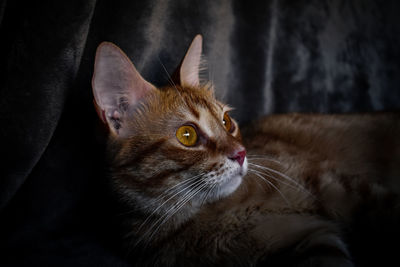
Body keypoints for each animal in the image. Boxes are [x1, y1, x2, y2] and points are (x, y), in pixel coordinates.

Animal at [90, 35, 400, 267]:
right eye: (187, 135)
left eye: (227, 122)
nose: (241, 153)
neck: (216, 211)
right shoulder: (311, 243)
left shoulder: (340, 187)